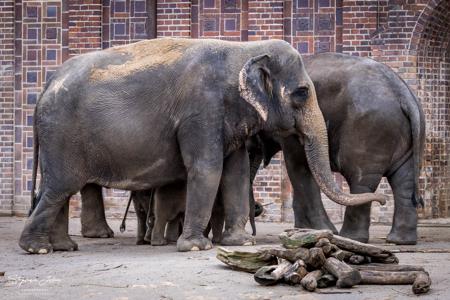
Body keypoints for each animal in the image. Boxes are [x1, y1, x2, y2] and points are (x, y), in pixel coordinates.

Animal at [22, 37, 386, 253]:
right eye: (302, 93)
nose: (382, 199)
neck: (243, 49)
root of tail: (47, 85)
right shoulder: (201, 110)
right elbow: (207, 169)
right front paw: (197, 247)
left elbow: (236, 174)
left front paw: (241, 243)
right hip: (63, 135)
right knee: (60, 187)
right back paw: (38, 248)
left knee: (56, 191)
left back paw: (62, 247)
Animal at [248, 52, 424, 245]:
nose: (257, 208)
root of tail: (403, 93)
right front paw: (302, 230)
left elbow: (299, 166)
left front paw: (319, 230)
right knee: (404, 180)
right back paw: (400, 241)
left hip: (369, 130)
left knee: (361, 180)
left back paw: (351, 237)